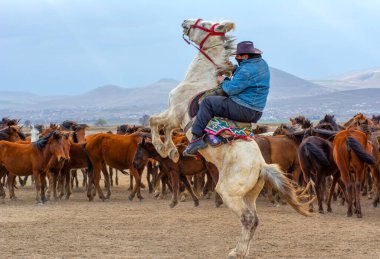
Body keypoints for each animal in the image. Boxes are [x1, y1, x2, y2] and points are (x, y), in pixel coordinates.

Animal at [148, 18, 308, 259]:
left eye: (206, 24)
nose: (185, 22)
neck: (197, 81)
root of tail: (261, 166)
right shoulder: (173, 116)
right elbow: (163, 127)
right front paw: (173, 151)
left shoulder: (174, 114)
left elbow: (155, 122)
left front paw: (165, 149)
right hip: (249, 194)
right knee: (254, 220)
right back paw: (241, 249)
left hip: (229, 192)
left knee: (248, 218)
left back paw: (237, 252)